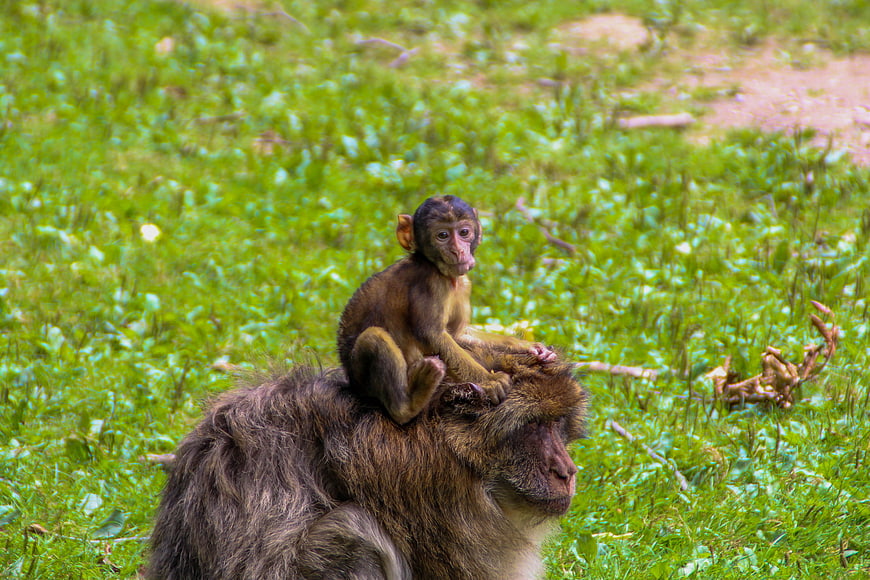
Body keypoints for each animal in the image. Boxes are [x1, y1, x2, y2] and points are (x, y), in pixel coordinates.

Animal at [337, 195, 555, 424]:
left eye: (464, 232)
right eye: (442, 235)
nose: (458, 251)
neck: (439, 270)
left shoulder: (464, 283)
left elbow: (456, 334)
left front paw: (527, 346)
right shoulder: (431, 283)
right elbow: (431, 335)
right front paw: (489, 380)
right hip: (363, 381)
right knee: (374, 337)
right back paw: (406, 406)